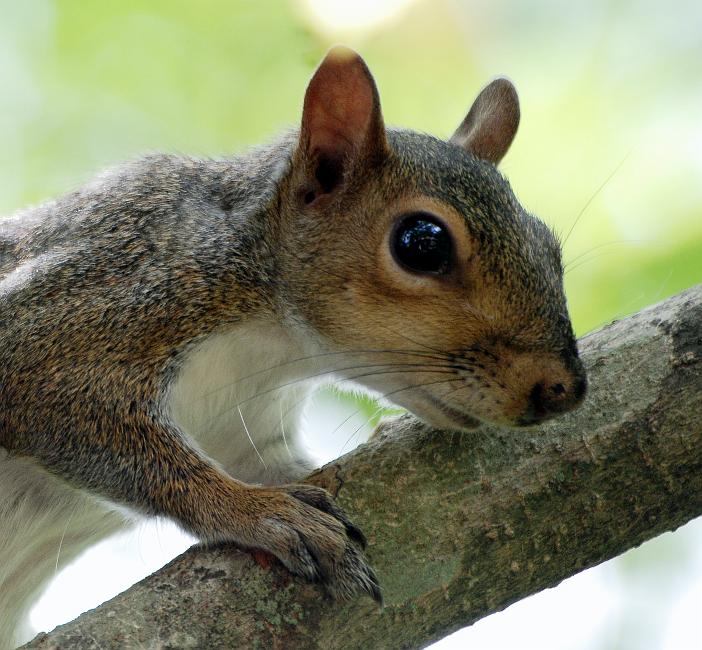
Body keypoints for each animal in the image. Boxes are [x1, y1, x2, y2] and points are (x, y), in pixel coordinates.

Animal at [0, 46, 586, 648]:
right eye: (422, 243)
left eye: (548, 244)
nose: (565, 388)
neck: (273, 350)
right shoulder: (105, 292)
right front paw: (260, 511)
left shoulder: (248, 435)